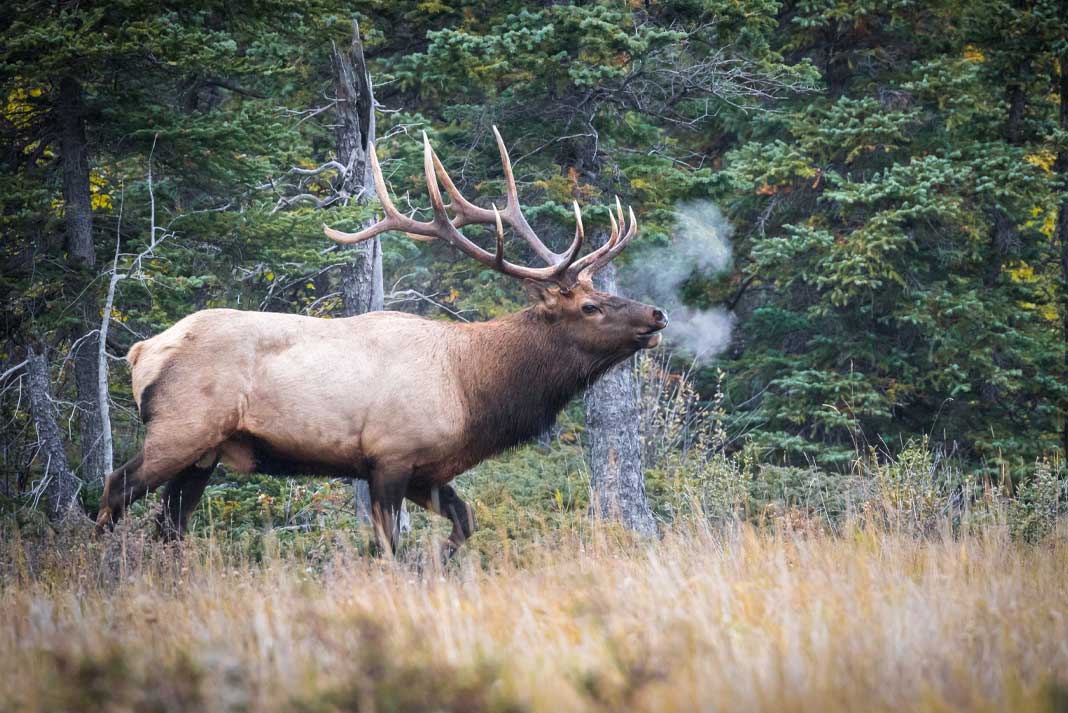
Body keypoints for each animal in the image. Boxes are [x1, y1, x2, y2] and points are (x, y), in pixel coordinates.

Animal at [94, 127, 668, 558]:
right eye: (589, 306)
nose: (657, 314)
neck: (471, 393)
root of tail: (141, 352)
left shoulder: (426, 470)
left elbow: (465, 522)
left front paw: (441, 561)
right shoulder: (390, 455)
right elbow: (389, 546)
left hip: (206, 452)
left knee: (170, 525)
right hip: (182, 428)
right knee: (115, 488)